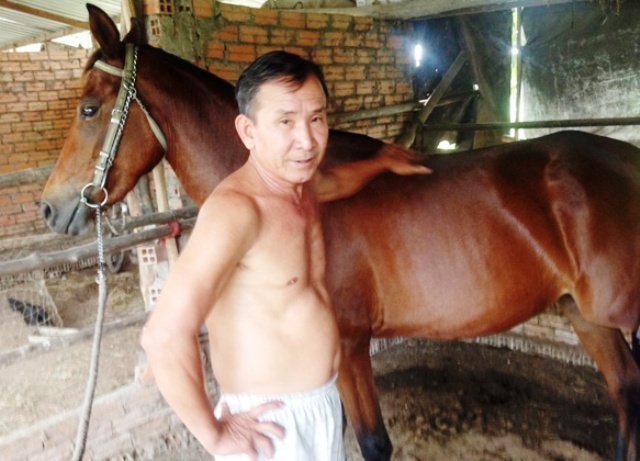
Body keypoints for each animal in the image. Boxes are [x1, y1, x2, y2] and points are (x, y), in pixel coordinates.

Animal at [40, 5, 640, 460]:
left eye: (88, 108)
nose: (50, 207)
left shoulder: (349, 344)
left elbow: (373, 443)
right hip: (584, 314)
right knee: (625, 391)